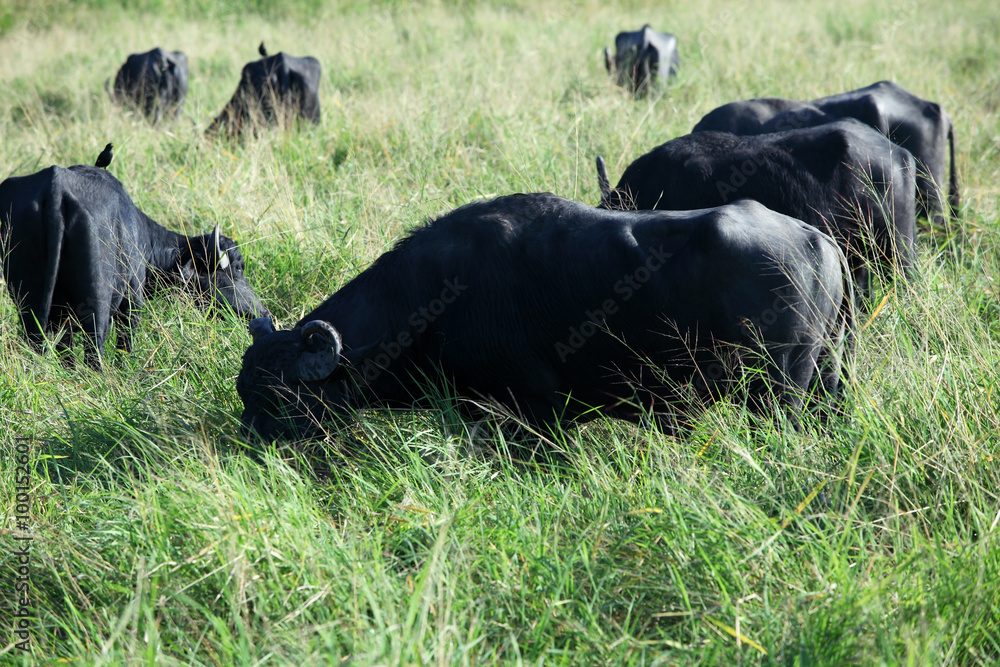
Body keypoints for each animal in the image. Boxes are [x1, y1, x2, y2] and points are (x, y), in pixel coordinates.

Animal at [236, 193, 852, 444]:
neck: (431, 298)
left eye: (282, 397)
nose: (247, 443)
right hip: (825, 380)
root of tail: (816, 240)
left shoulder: (537, 411)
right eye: (247, 391)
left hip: (779, 391)